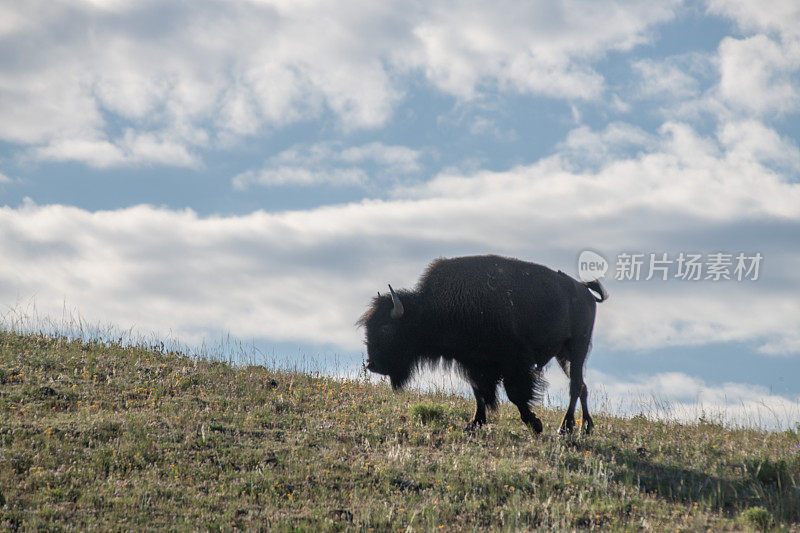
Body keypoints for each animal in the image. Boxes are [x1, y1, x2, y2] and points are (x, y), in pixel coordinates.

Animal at [356, 254, 608, 432]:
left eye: (386, 329)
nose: (372, 364)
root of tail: (584, 291)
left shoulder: (513, 362)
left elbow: (515, 394)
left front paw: (534, 424)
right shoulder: (474, 364)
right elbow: (479, 393)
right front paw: (474, 424)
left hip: (577, 347)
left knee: (575, 386)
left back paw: (564, 428)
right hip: (563, 354)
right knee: (582, 386)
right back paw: (586, 427)